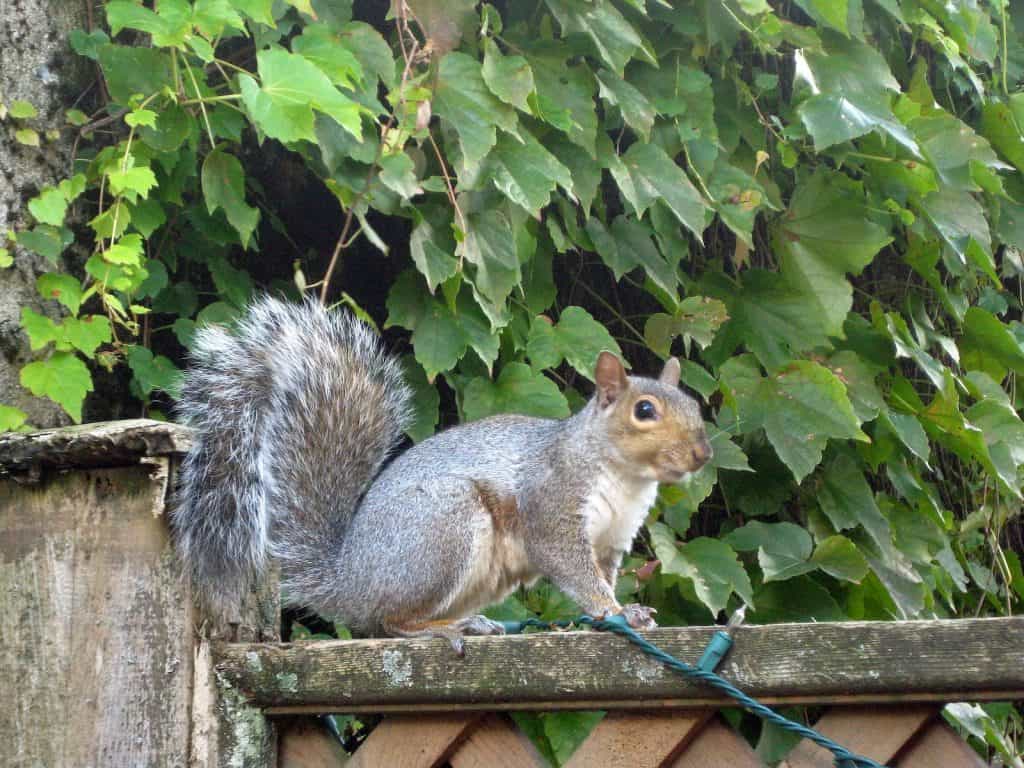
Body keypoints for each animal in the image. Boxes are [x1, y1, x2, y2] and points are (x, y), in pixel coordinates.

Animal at [172, 296, 712, 651]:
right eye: (645, 410)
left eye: (693, 404)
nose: (702, 453)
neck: (624, 476)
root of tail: (347, 580)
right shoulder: (553, 504)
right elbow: (575, 571)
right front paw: (615, 613)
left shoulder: (613, 538)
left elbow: (604, 574)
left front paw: (625, 614)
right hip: (443, 527)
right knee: (388, 622)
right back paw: (448, 629)